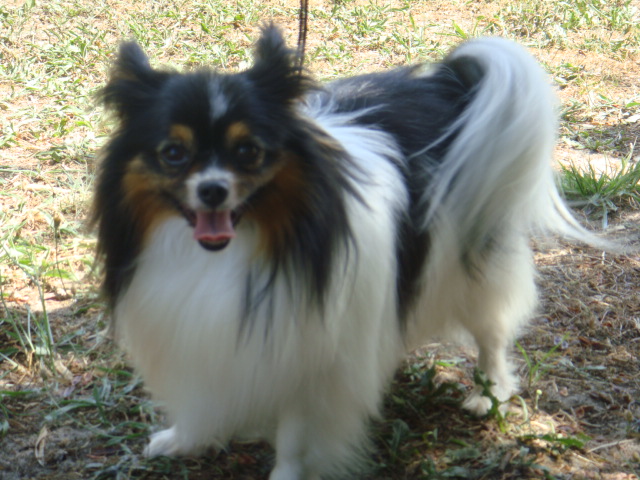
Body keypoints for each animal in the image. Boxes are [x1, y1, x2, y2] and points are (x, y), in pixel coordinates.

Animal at [92, 25, 592, 479]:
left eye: (248, 151)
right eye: (173, 153)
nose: (212, 190)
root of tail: (444, 85)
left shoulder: (311, 364)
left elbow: (295, 440)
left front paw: (285, 476)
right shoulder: (195, 338)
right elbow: (199, 402)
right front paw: (185, 441)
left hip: (471, 268)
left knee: (491, 333)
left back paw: (488, 394)